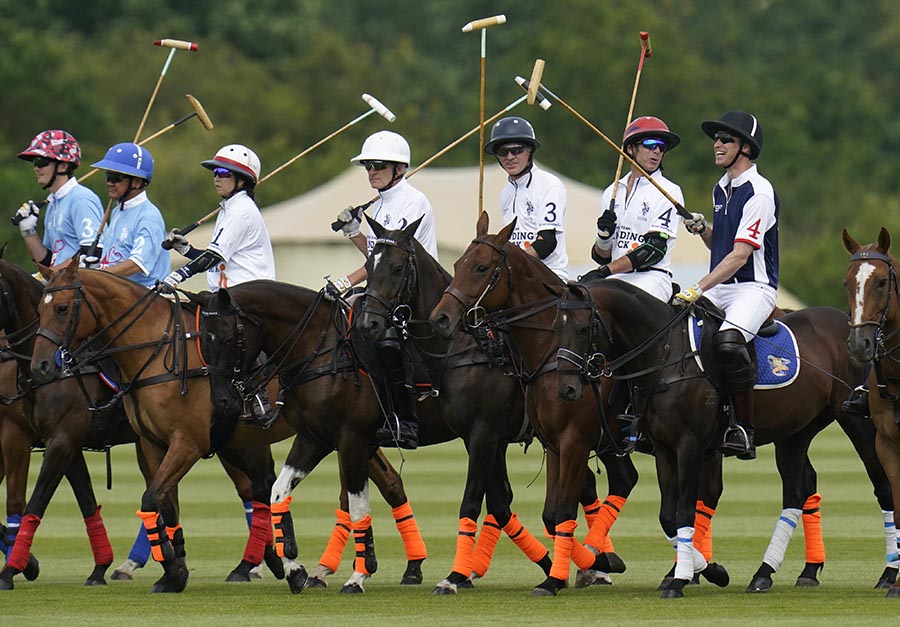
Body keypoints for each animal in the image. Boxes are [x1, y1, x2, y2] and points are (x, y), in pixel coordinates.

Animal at [201, 278, 556, 596]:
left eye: (228, 338)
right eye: (203, 342)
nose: (223, 401)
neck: (320, 348)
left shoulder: (352, 439)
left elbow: (358, 505)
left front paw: (358, 574)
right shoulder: (315, 438)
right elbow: (279, 493)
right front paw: (295, 569)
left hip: (486, 434)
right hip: (489, 438)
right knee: (501, 500)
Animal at [352, 216, 632, 592]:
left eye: (397, 268)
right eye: (369, 265)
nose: (369, 324)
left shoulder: (486, 433)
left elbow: (473, 501)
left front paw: (454, 576)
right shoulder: (480, 437)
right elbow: (499, 502)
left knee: (620, 480)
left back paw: (603, 562)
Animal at [432, 212, 896, 600]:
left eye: (479, 267)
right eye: (459, 265)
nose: (442, 319)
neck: (662, 351)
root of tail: (847, 325)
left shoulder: (595, 440)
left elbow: (634, 509)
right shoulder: (603, 445)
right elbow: (644, 514)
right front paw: (681, 569)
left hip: (859, 425)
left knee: (880, 485)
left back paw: (886, 574)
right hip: (794, 432)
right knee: (799, 488)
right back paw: (773, 572)